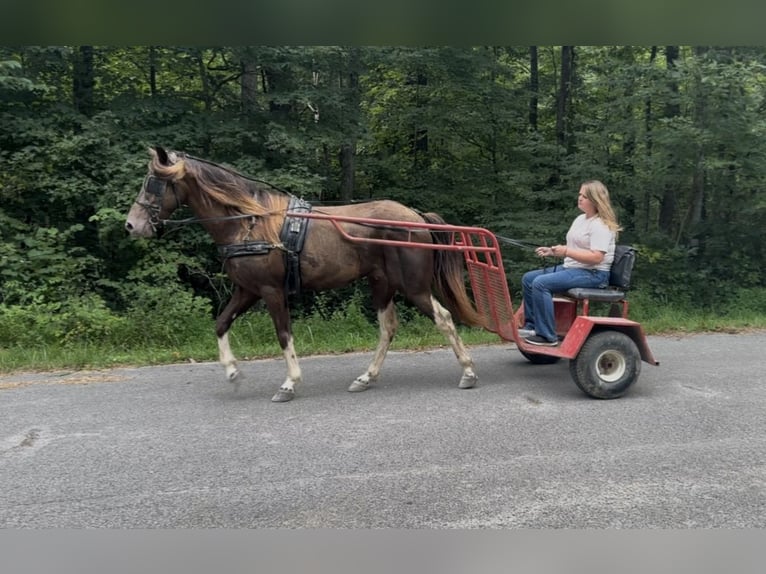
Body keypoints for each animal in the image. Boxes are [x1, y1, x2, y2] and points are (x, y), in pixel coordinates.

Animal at [125, 146, 487, 402]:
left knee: (443, 318)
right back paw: (366, 377)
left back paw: (469, 372)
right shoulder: (247, 290)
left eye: (152, 183)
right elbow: (221, 323)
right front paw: (232, 372)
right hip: (382, 284)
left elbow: (284, 334)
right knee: (388, 328)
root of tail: (415, 216)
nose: (131, 225)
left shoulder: (271, 291)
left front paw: (289, 383)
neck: (248, 222)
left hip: (413, 287)